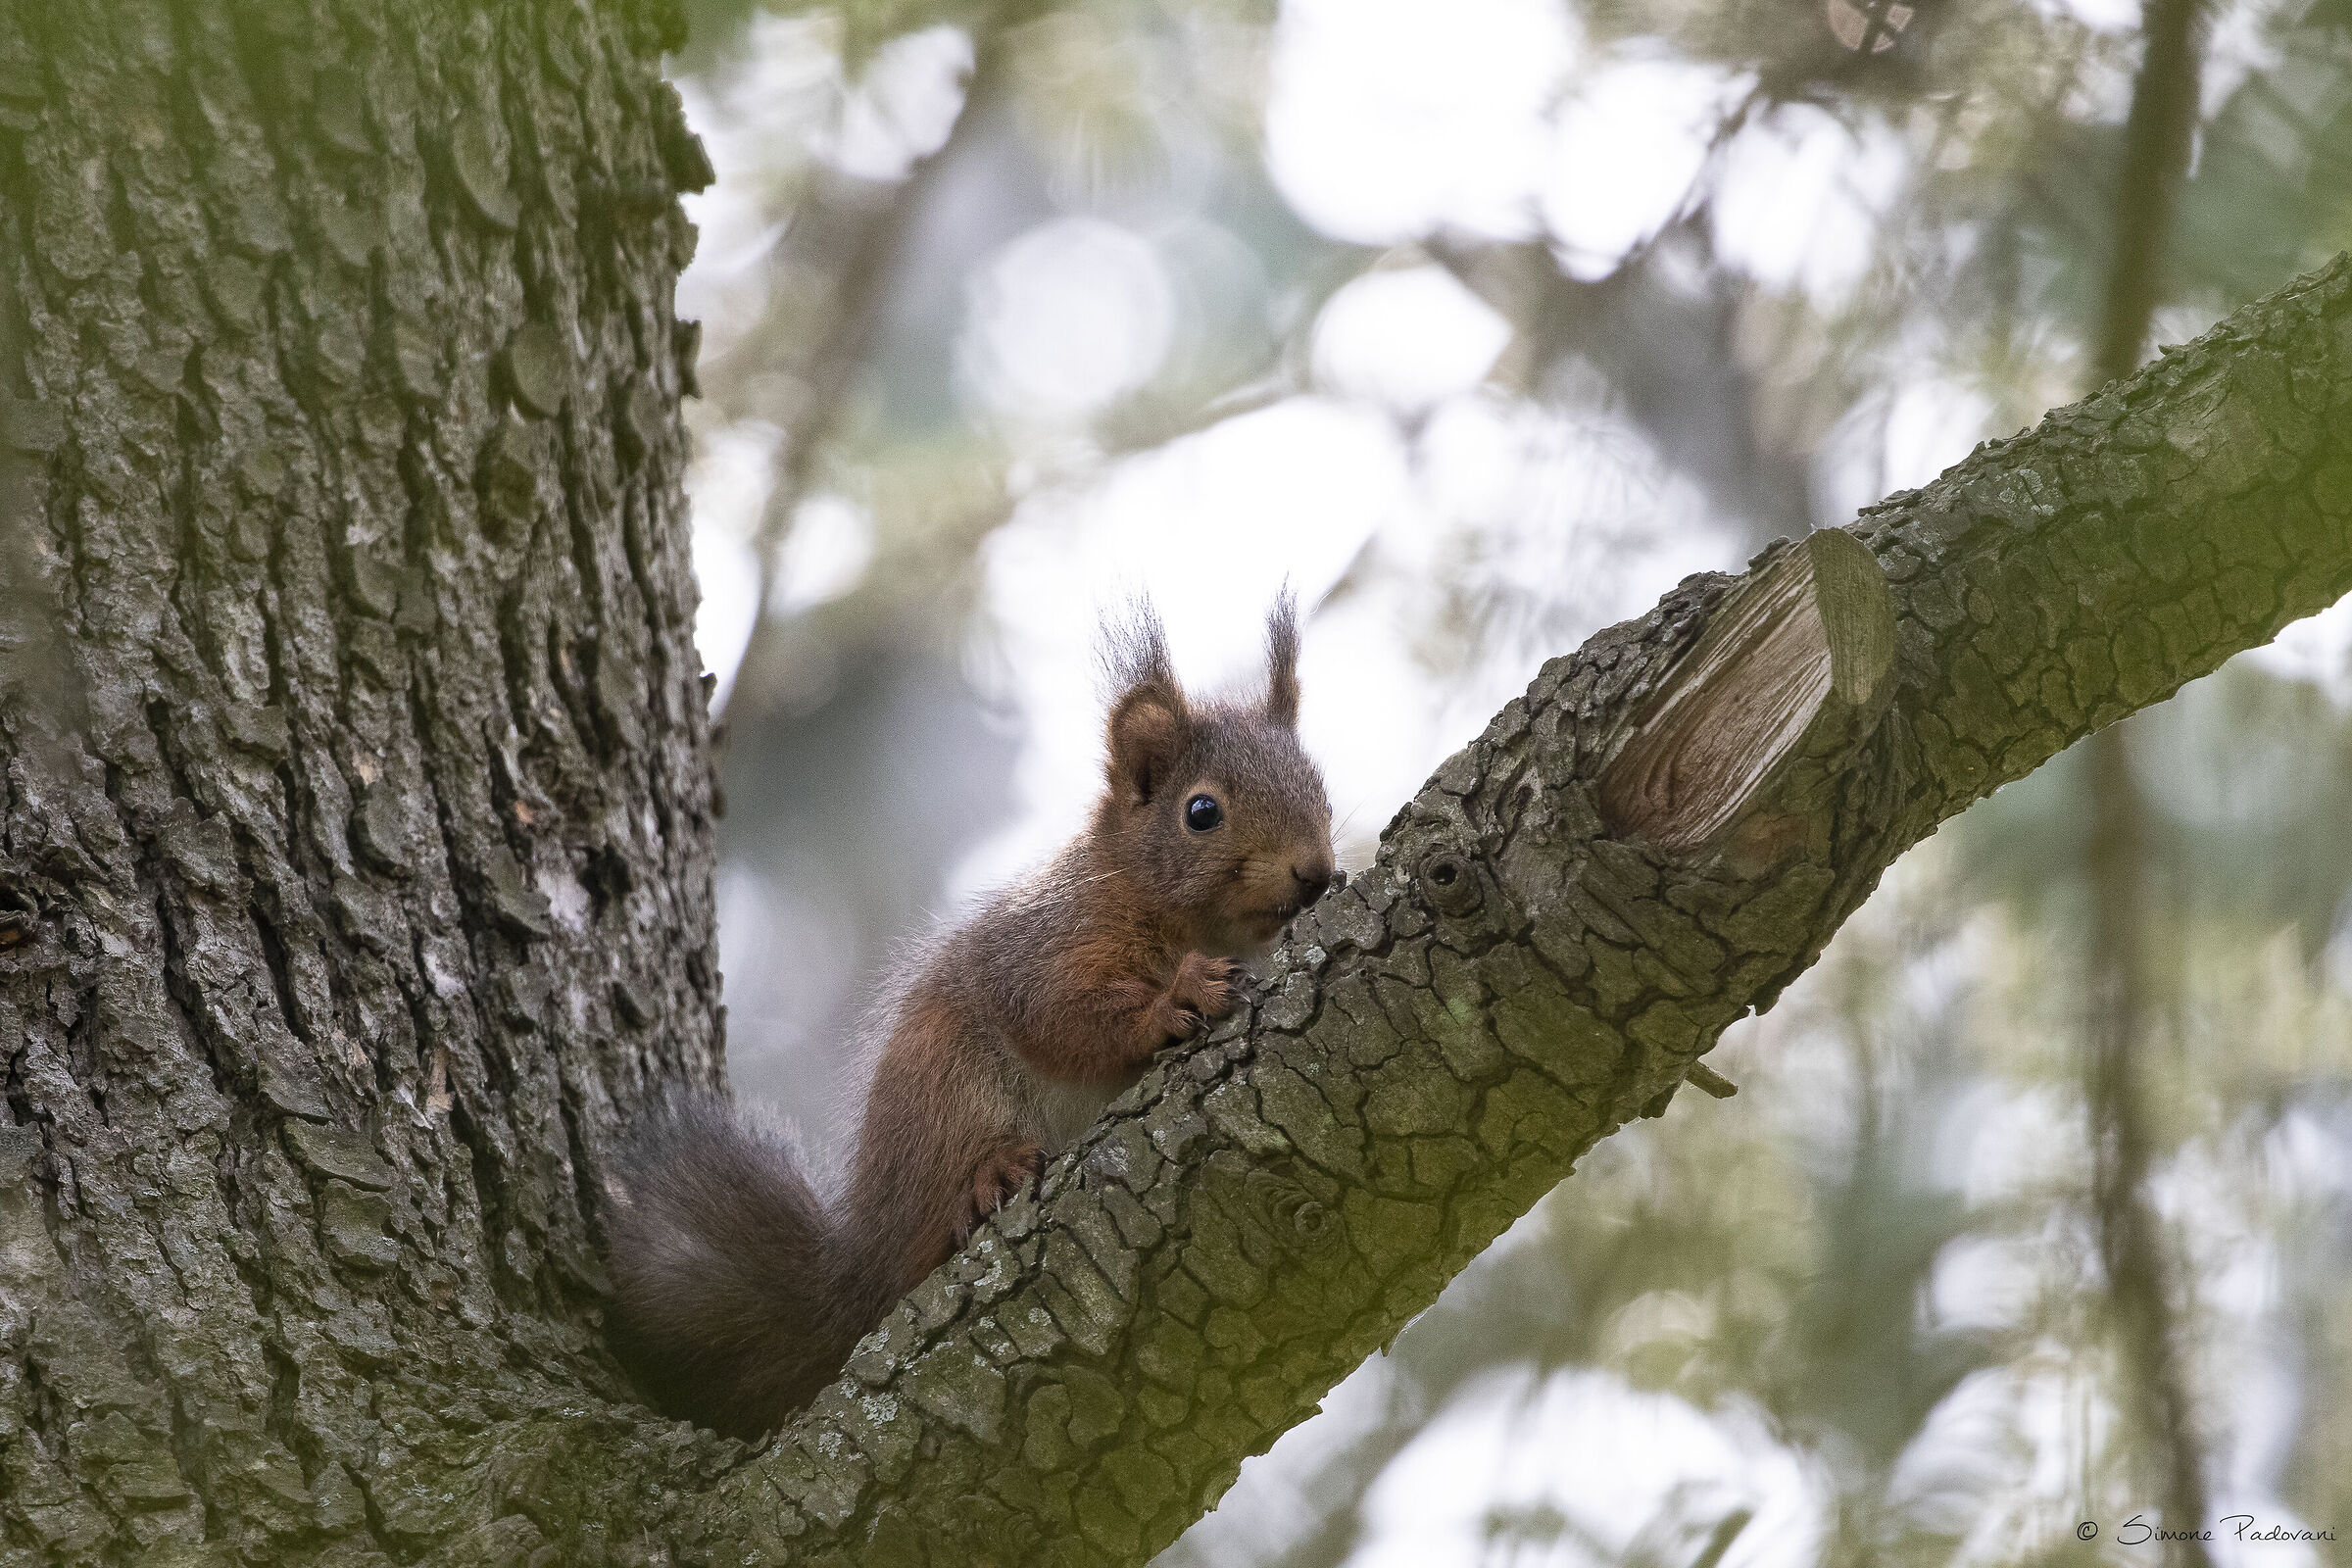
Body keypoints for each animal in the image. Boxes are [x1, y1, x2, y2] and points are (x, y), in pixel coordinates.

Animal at [602, 597, 1336, 1438]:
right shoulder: (1048, 945)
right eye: (1202, 812)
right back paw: (988, 1179)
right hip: (943, 1087)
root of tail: (861, 1265)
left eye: (1320, 788)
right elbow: (1062, 1016)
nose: (1317, 872)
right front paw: (1175, 998)